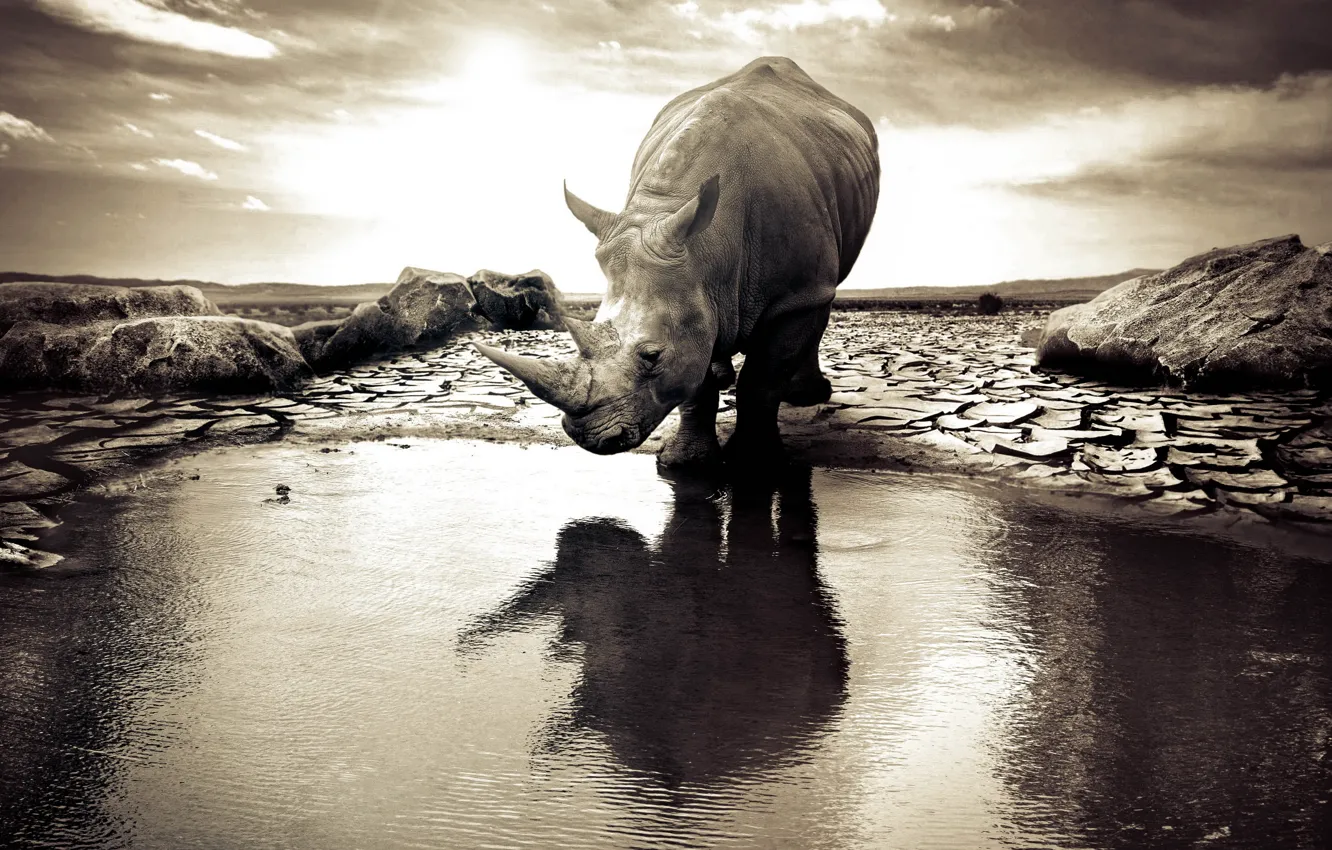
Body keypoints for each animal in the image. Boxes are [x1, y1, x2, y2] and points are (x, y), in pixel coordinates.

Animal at [476, 56, 880, 465]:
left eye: (653, 356)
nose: (587, 437)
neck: (709, 247)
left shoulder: (797, 292)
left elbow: (762, 381)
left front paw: (754, 460)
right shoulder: (690, 284)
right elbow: (696, 380)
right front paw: (685, 462)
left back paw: (808, 395)